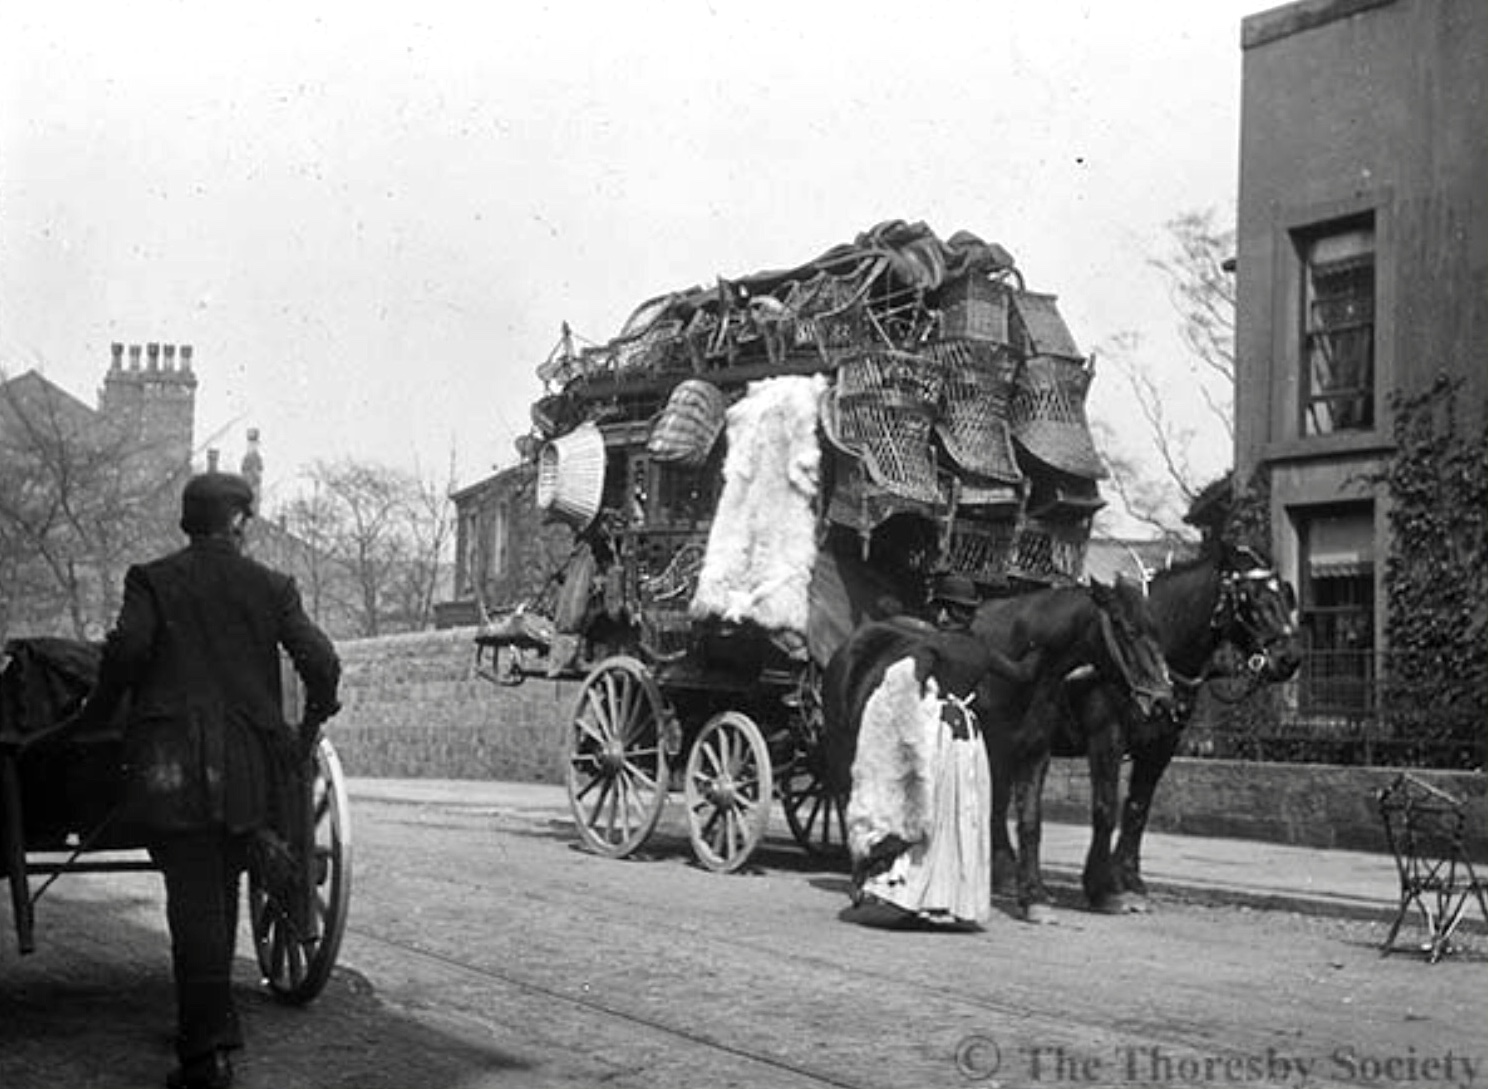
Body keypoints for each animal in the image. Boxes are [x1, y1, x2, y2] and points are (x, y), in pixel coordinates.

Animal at [815, 577, 1172, 910]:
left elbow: (1031, 821)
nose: (1163, 700)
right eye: (1128, 629)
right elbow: (997, 811)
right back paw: (864, 877)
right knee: (851, 802)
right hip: (842, 753)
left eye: (1157, 630)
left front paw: (1034, 895)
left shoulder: (1035, 752)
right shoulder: (1005, 752)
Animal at [999, 541, 1303, 916]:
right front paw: (1102, 886)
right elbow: (1106, 807)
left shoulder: (1162, 743)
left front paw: (1129, 879)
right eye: (1249, 597)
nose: (1289, 659)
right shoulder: (1106, 735)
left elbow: (1137, 808)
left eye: (1286, 594)